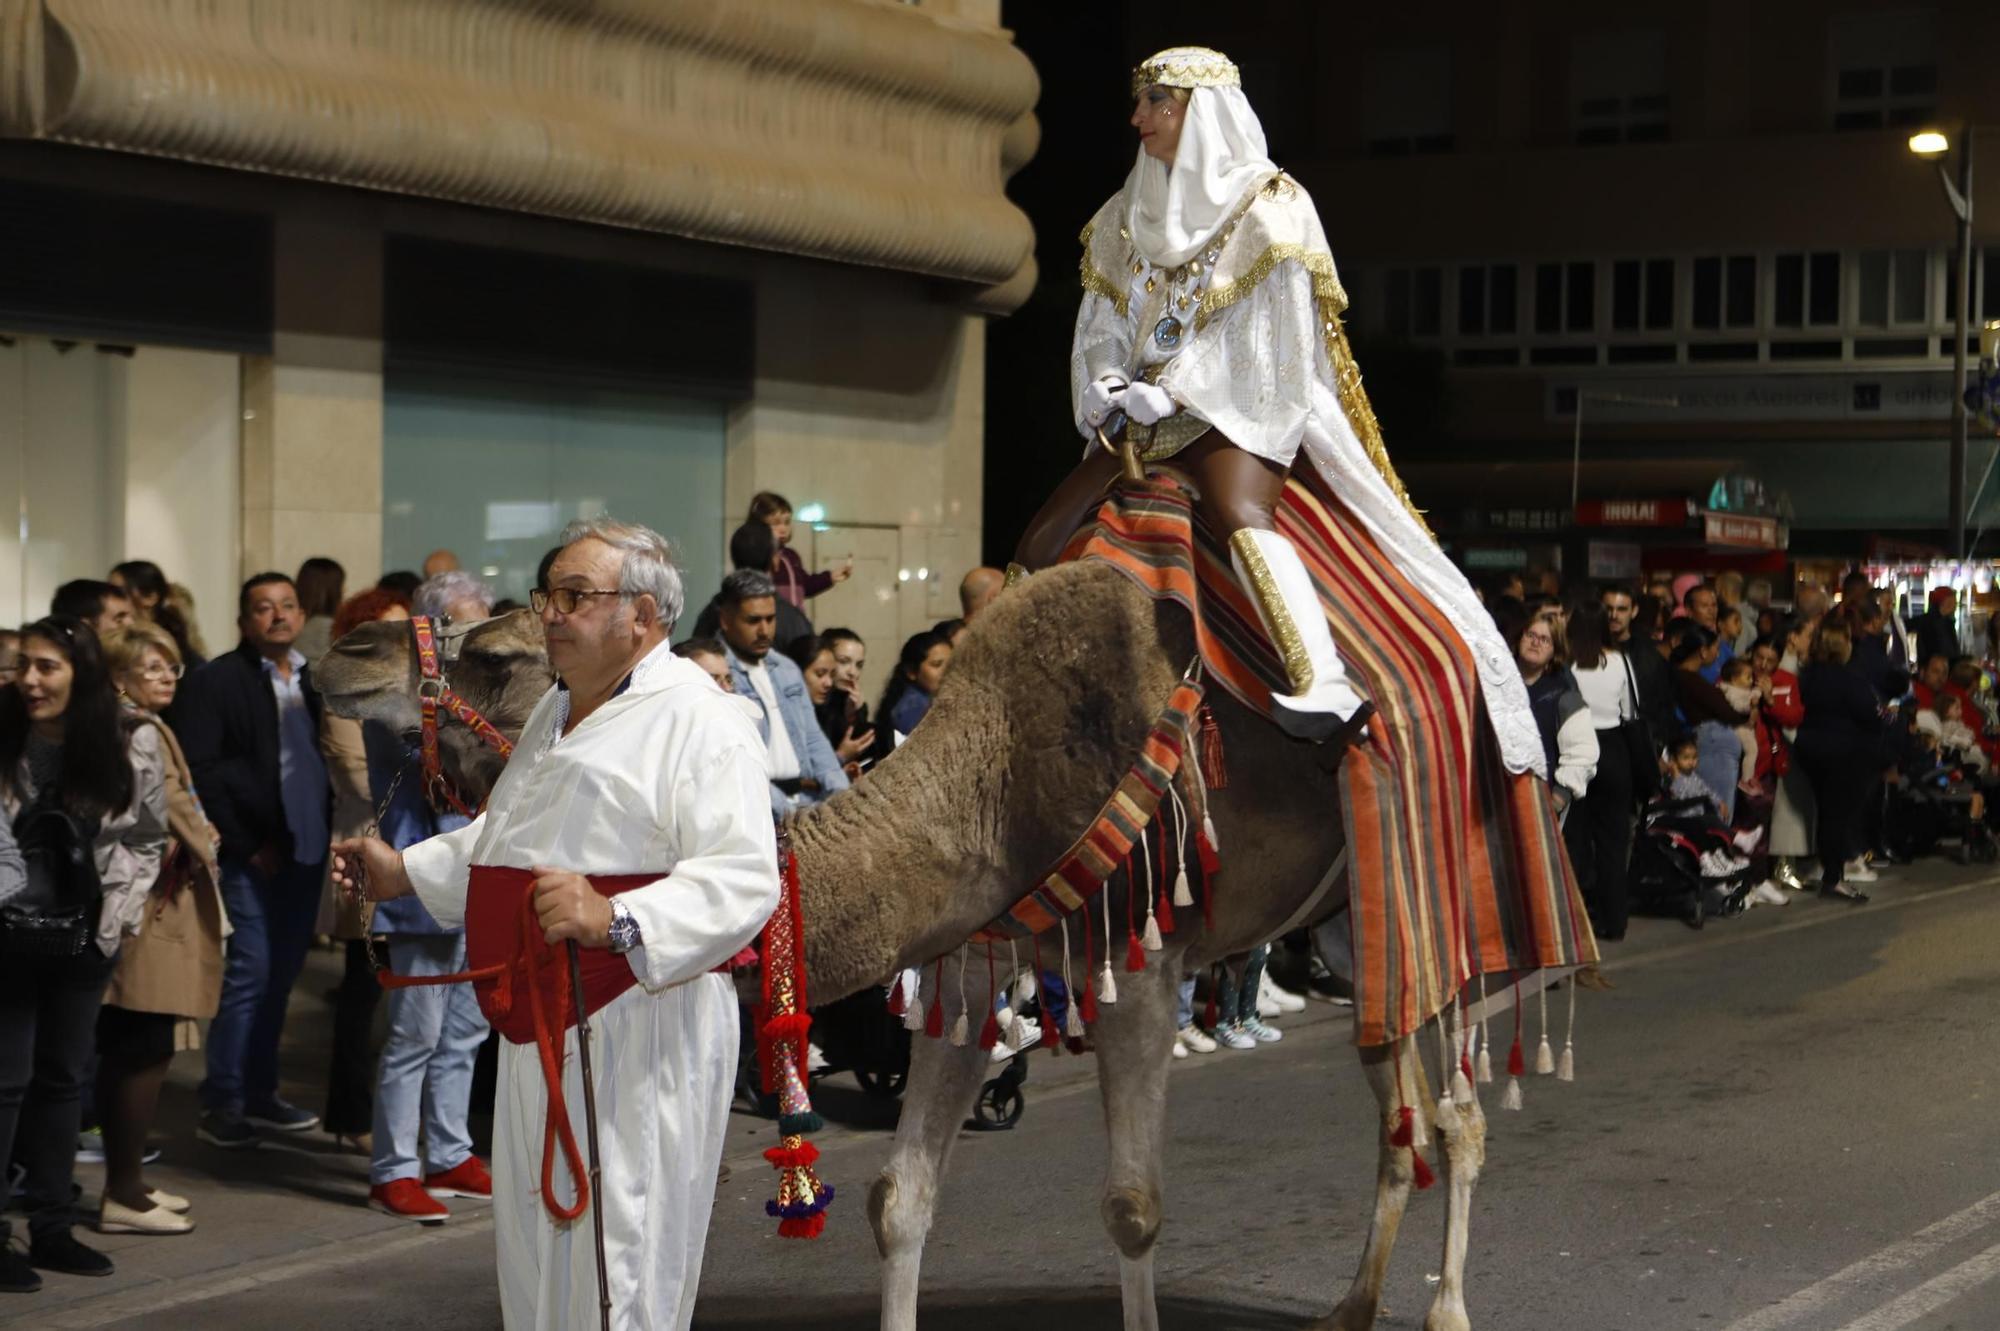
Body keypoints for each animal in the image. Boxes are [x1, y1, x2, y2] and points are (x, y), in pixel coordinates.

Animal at [316, 571, 1504, 1327]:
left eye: (498, 650)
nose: (342, 652)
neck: (994, 769)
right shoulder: (971, 954)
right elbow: (898, 1200)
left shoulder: (1140, 961)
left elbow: (1132, 1208)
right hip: (1353, 920)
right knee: (1396, 1096)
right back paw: (1352, 1304)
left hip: (1442, 894)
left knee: (1453, 1108)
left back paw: (1445, 1306)